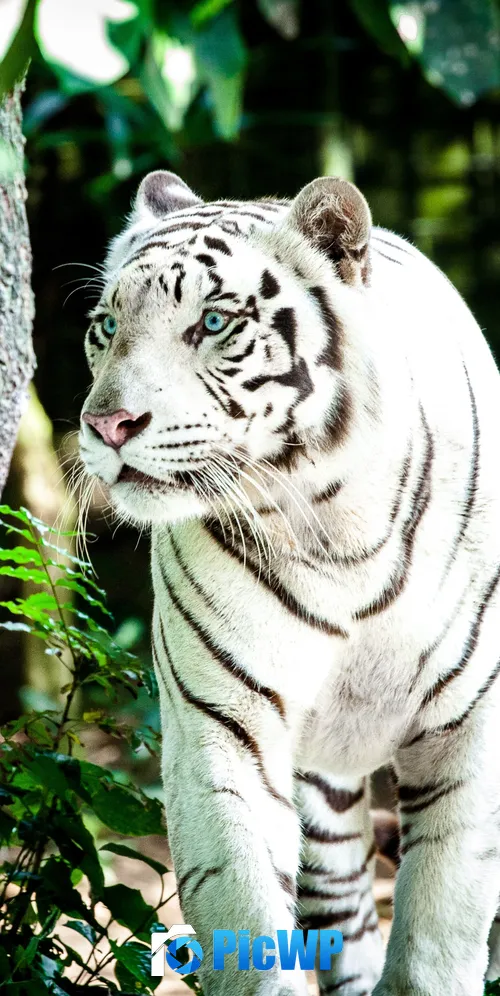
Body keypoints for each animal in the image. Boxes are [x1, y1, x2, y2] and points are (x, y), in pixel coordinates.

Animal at [79, 169, 500, 996]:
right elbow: (246, 917)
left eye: (212, 322)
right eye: (105, 327)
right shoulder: (223, 726)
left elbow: (439, 932)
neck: (337, 527)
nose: (107, 426)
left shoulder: (469, 725)